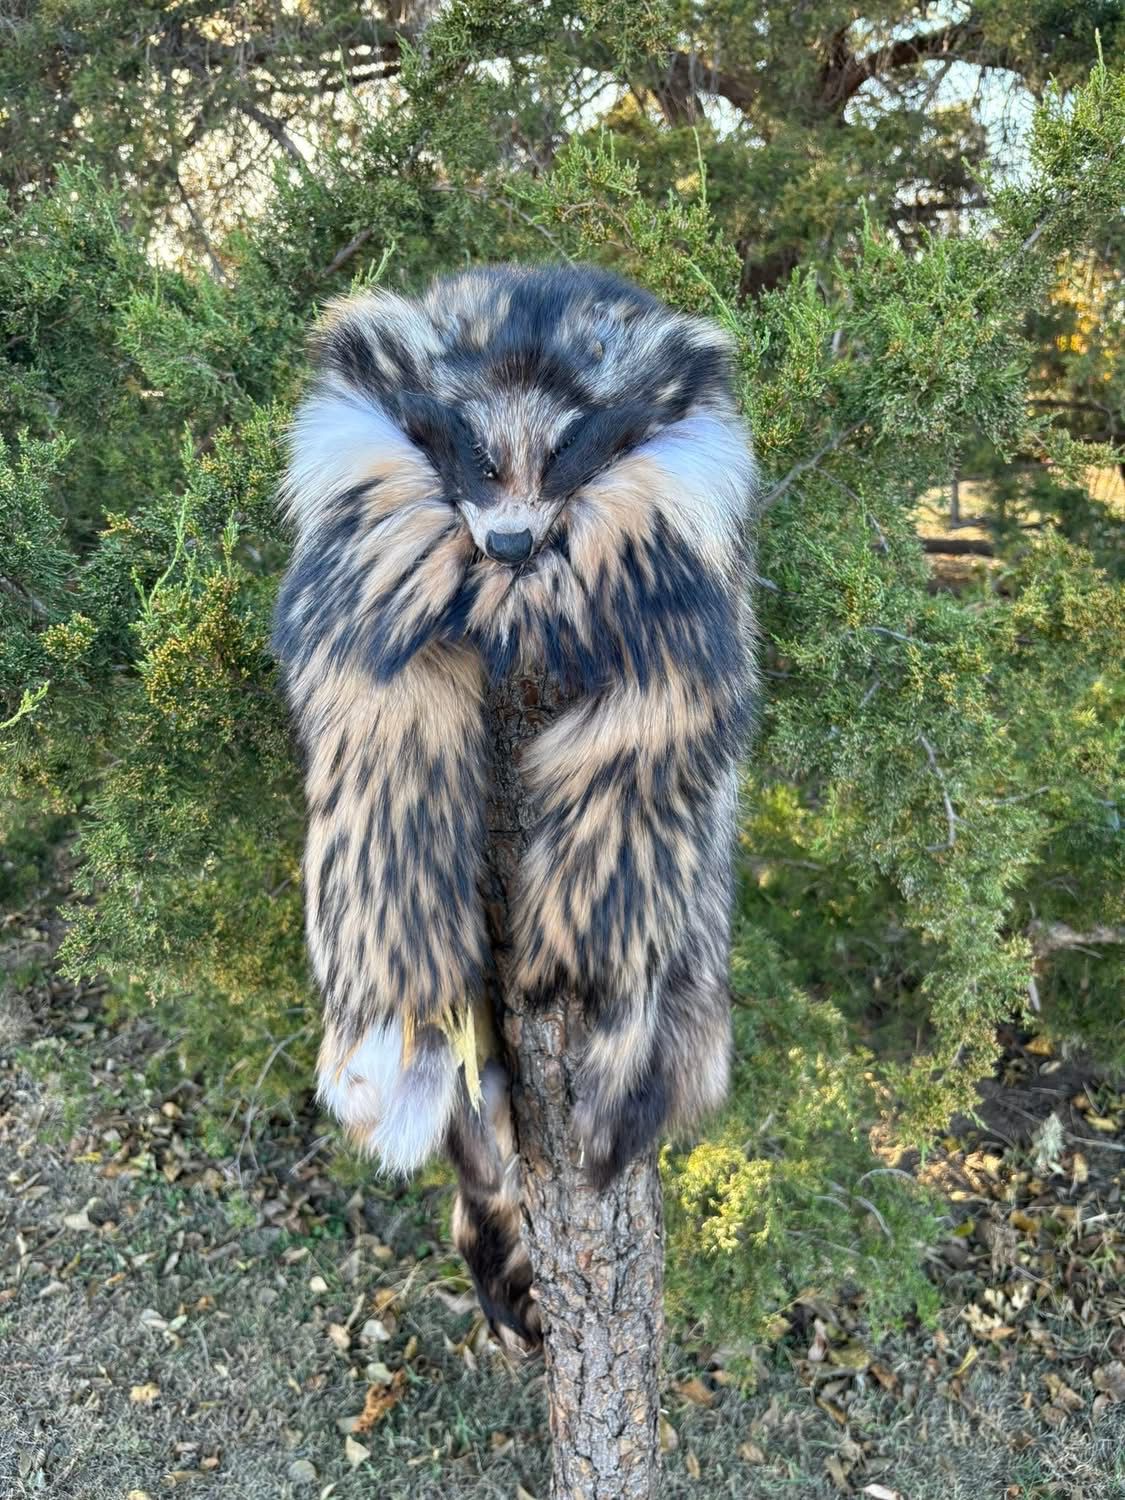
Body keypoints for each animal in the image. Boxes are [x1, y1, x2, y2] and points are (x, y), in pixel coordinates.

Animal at [272, 263, 756, 1345]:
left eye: (571, 448)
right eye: (474, 453)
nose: (505, 542)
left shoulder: (679, 572)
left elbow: (662, 727)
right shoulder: (364, 543)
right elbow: (376, 706)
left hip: (688, 972)